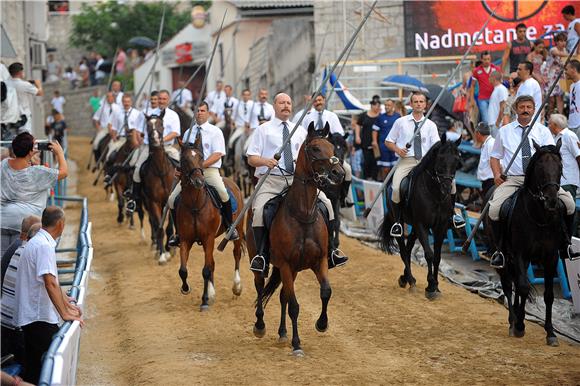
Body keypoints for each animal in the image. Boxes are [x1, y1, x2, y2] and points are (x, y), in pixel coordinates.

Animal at [172, 136, 245, 310]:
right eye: (184, 160)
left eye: (201, 157)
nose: (199, 181)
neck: (195, 205)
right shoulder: (185, 240)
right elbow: (183, 270)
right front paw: (186, 288)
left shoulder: (208, 238)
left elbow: (205, 270)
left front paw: (205, 300)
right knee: (212, 262)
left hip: (237, 231)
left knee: (236, 254)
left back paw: (236, 287)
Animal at [380, 137, 462, 300]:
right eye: (440, 159)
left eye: (457, 160)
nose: (447, 188)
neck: (435, 194)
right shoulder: (422, 225)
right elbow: (429, 254)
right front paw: (430, 286)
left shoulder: (440, 227)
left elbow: (437, 257)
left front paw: (436, 286)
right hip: (401, 222)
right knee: (403, 250)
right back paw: (410, 281)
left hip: (415, 228)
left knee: (409, 248)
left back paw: (405, 278)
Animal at [488, 139, 568, 346]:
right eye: (540, 167)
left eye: (560, 166)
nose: (551, 200)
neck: (539, 217)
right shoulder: (520, 254)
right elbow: (523, 287)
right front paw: (519, 326)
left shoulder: (551, 257)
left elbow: (548, 295)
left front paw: (550, 332)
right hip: (503, 256)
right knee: (509, 285)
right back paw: (513, 321)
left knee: (516, 283)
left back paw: (519, 315)